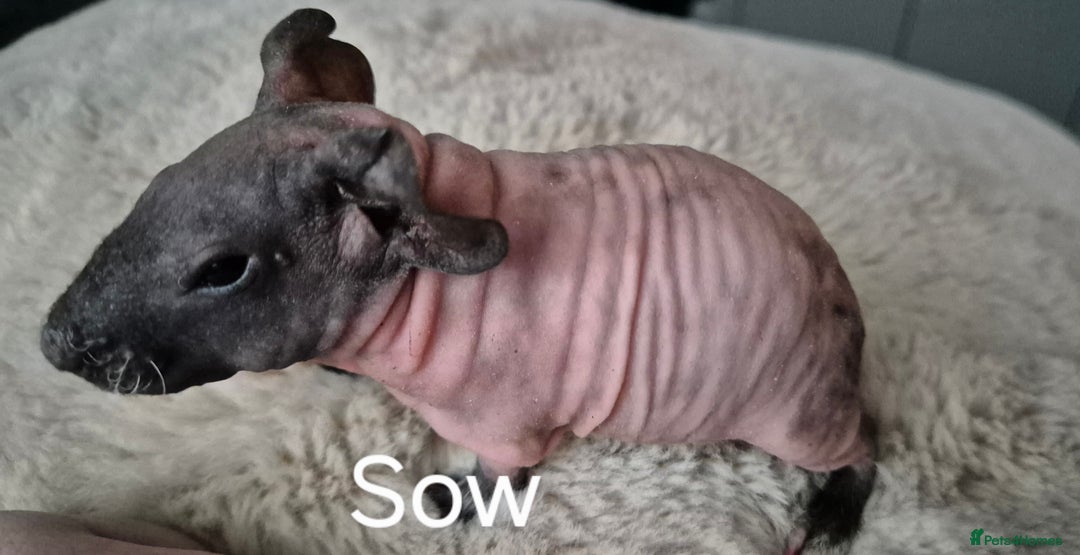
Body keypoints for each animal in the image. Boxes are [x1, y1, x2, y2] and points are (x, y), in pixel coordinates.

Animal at [40, 9, 875, 554]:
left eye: (221, 271)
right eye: (154, 188)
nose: (54, 341)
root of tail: (842, 299)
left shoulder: (506, 415)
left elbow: (505, 467)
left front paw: (460, 493)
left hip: (791, 406)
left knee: (861, 442)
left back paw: (831, 513)